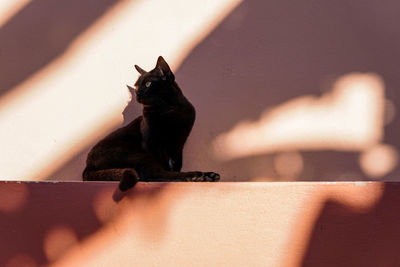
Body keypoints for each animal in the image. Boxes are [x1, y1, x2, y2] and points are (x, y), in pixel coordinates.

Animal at [81, 56, 219, 191]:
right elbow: (163, 167)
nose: (137, 93)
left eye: (148, 84)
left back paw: (209, 176)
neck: (168, 110)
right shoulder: (152, 143)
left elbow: (176, 164)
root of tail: (87, 167)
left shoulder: (179, 144)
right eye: (136, 86)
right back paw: (194, 175)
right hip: (136, 154)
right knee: (152, 174)